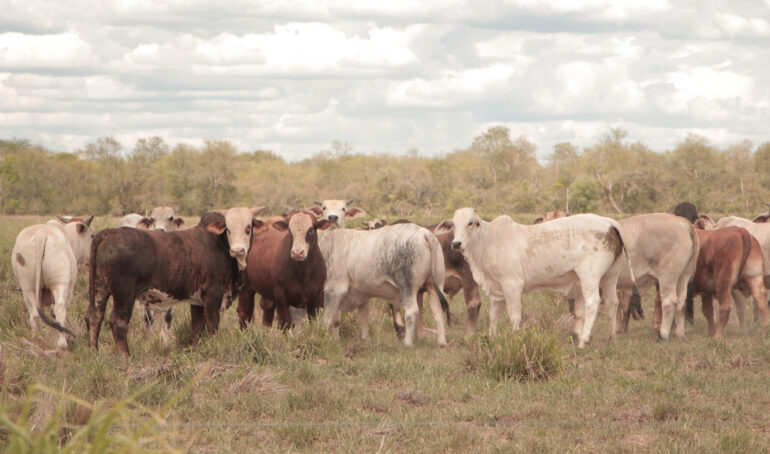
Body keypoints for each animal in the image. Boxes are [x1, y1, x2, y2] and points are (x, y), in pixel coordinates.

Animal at [11, 216, 95, 348]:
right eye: (92, 235)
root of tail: (41, 232)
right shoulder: (68, 289)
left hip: (28, 287)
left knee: (35, 313)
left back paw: (37, 338)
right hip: (59, 283)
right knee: (60, 309)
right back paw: (61, 343)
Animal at [83, 208, 258, 358]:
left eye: (248, 228)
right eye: (228, 228)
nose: (238, 250)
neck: (219, 244)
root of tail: (109, 232)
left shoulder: (197, 299)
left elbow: (198, 326)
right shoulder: (212, 293)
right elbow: (212, 324)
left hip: (100, 288)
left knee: (94, 316)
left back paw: (94, 352)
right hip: (124, 294)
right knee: (118, 322)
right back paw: (126, 357)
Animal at [320, 223, 450, 348]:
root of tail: (424, 234)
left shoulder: (334, 291)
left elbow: (327, 319)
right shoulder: (362, 295)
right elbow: (358, 319)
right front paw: (361, 340)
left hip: (408, 287)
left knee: (411, 312)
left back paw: (407, 343)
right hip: (434, 286)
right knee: (437, 312)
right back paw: (441, 342)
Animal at [438, 208, 636, 348]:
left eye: (470, 223)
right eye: (454, 224)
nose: (456, 243)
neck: (490, 241)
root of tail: (607, 221)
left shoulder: (512, 285)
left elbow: (514, 316)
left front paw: (514, 338)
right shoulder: (496, 290)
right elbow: (493, 316)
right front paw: (492, 339)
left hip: (590, 275)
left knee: (593, 302)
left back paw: (584, 340)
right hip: (611, 275)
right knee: (612, 303)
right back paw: (611, 339)